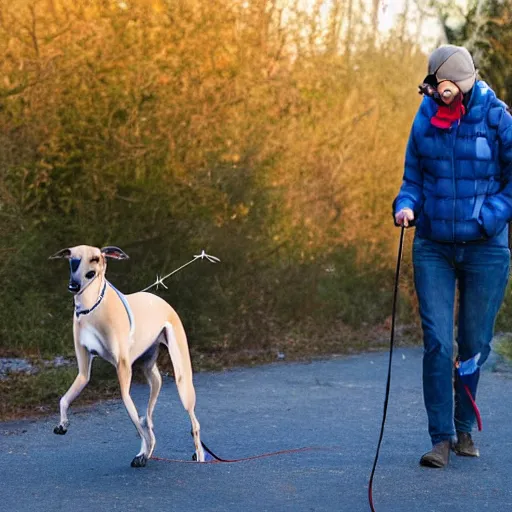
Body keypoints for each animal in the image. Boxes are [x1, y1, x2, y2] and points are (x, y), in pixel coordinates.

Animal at [50, 246, 205, 466]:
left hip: (182, 379)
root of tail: (160, 299)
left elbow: (133, 417)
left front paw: (143, 451)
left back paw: (199, 454)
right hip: (150, 369)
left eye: (95, 259)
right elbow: (64, 398)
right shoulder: (83, 371)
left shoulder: (123, 369)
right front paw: (62, 424)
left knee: (192, 422)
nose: (74, 285)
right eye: (72, 258)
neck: (92, 308)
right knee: (149, 413)